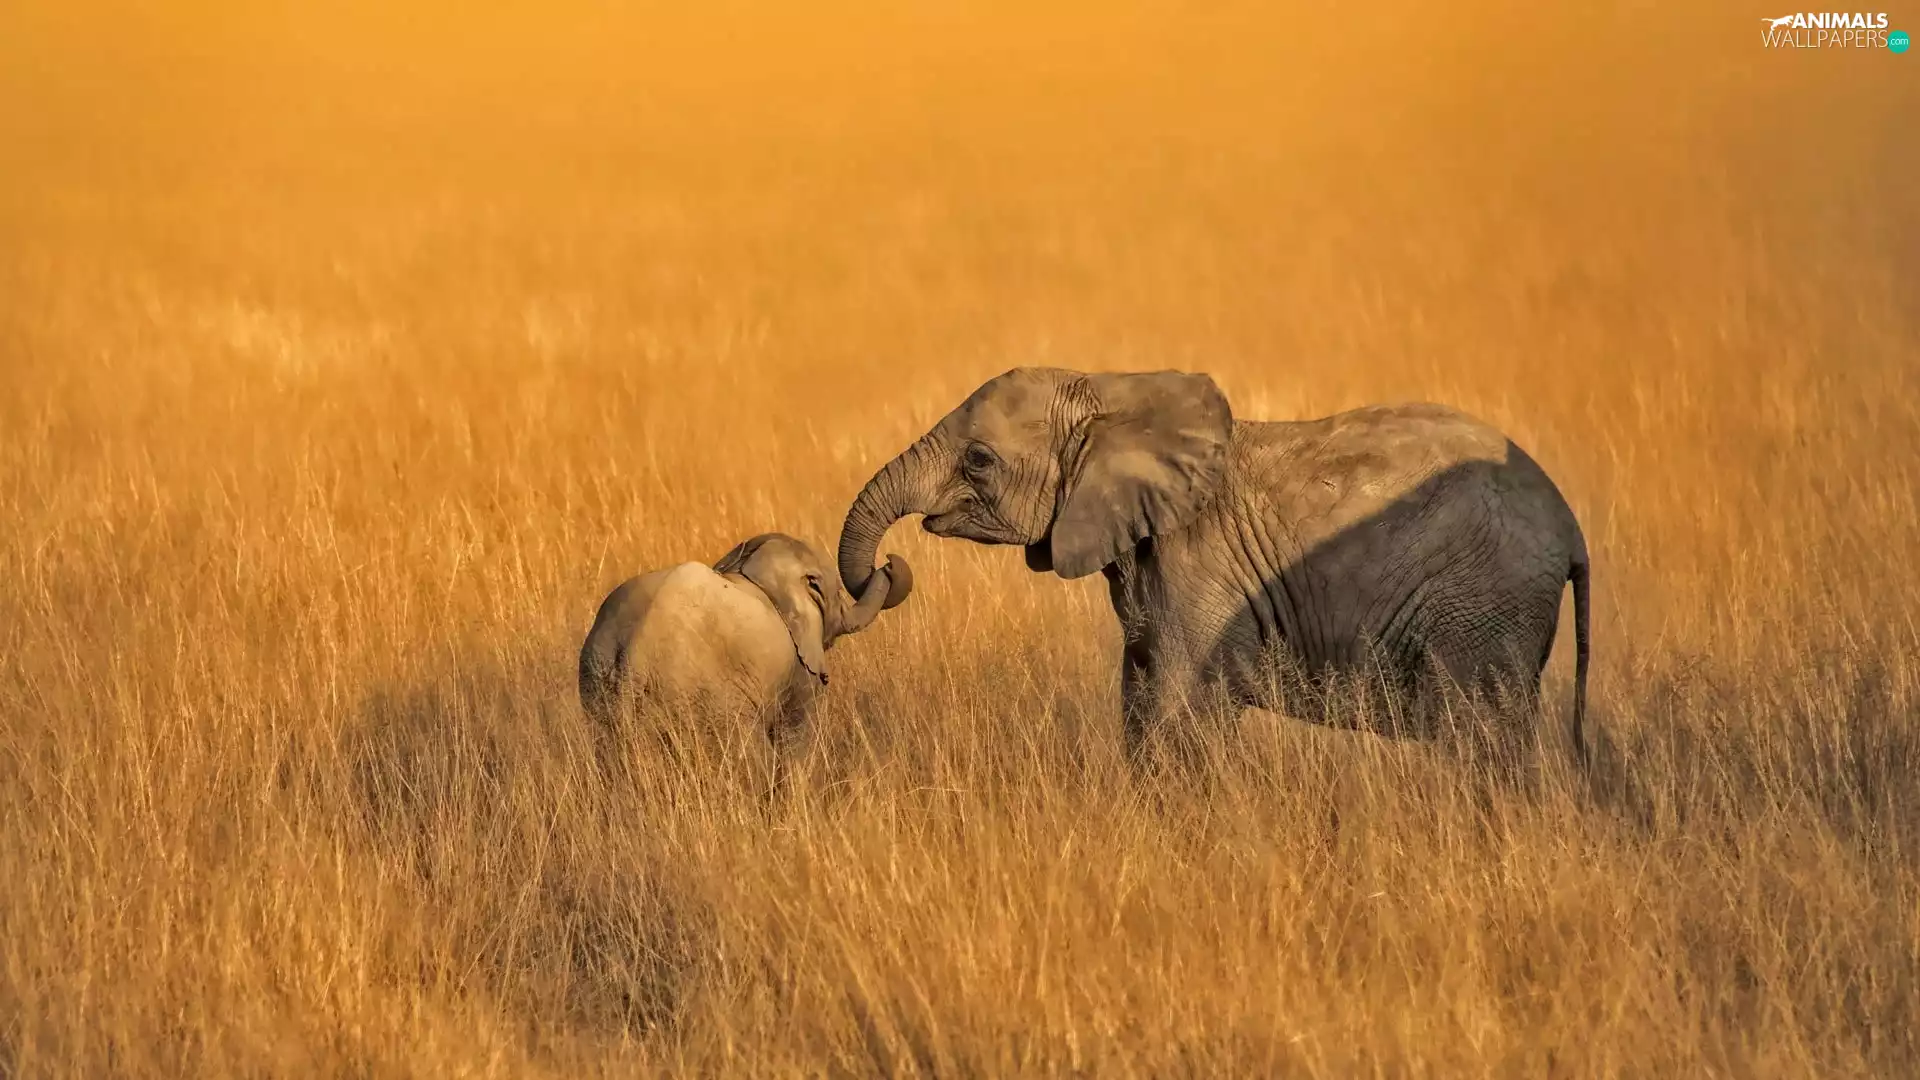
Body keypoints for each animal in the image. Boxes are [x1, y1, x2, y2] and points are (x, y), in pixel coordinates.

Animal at [580, 533, 912, 777]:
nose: (889, 562)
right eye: (836, 594)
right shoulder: (800, 670)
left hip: (599, 680)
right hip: (706, 701)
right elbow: (796, 739)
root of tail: (636, 652)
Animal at [837, 367, 1592, 763]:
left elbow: (1177, 706)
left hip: (1483, 604)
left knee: (1478, 738)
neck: (1111, 395)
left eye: (979, 461)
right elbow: (1140, 694)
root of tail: (1570, 526)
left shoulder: (1199, 565)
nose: (890, 568)